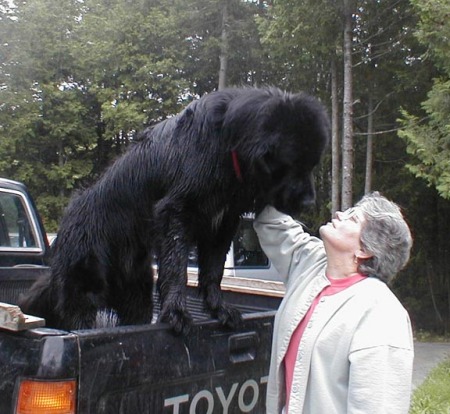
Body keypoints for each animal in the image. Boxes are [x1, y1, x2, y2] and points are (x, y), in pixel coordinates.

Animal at [20, 85, 330, 334]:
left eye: (312, 165)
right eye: (291, 164)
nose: (308, 203)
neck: (227, 150)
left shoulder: (223, 223)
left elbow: (213, 271)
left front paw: (218, 309)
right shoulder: (176, 212)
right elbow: (176, 266)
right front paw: (176, 312)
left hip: (137, 296)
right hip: (84, 288)